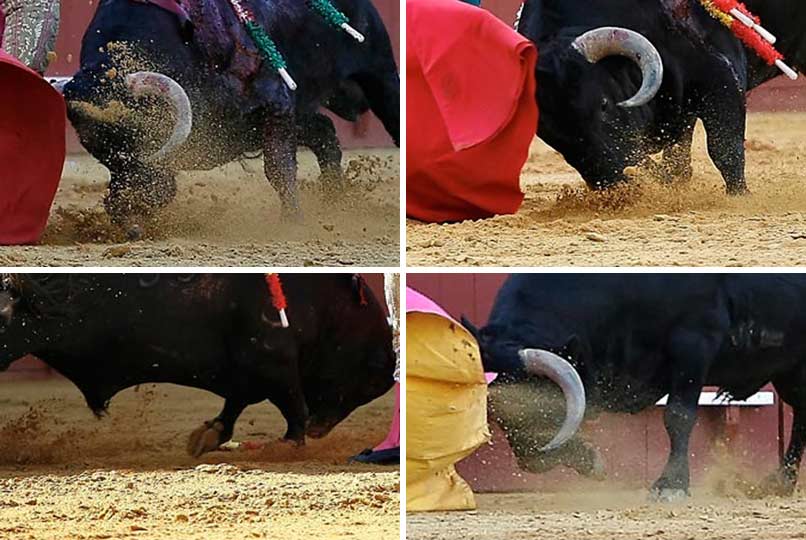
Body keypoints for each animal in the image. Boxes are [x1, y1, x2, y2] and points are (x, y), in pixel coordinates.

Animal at [0, 274, 394, 456]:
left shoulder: (249, 372)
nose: (319, 428)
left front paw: (209, 435)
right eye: (372, 372)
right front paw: (290, 443)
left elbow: (235, 404)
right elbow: (292, 403)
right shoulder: (272, 362)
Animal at [62, 0, 400, 230]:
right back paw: (334, 199)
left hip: (380, 75)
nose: (129, 205)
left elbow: (279, 169)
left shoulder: (276, 104)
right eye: (98, 150)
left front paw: (291, 222)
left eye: (141, 133)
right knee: (325, 131)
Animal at [468, 276, 806, 500]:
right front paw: (591, 461)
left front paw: (671, 485)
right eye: (501, 418)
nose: (532, 460)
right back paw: (780, 484)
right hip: (788, 370)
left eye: (543, 408)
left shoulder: (694, 342)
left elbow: (678, 416)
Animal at [516, 0, 806, 194]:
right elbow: (671, 157)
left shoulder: (720, 76)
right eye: (549, 133)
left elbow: (724, 148)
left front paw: (739, 195)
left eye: (604, 105)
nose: (607, 179)